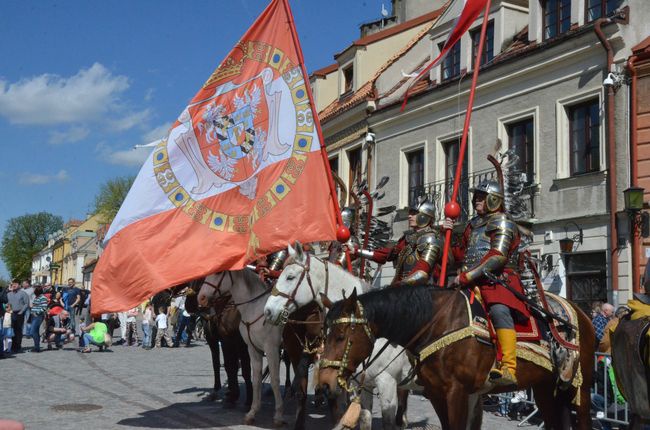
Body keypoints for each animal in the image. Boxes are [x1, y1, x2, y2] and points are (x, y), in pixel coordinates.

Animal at [197, 270, 284, 424]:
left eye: (219, 272)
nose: (200, 298)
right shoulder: (251, 348)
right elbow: (254, 377)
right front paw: (252, 411)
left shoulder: (270, 348)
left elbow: (273, 379)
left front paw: (278, 414)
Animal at [316, 286, 596, 430]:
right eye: (324, 334)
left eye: (341, 336)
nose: (324, 383)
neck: (435, 323)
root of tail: (579, 311)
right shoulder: (436, 393)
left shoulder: (454, 392)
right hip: (545, 387)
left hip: (580, 387)